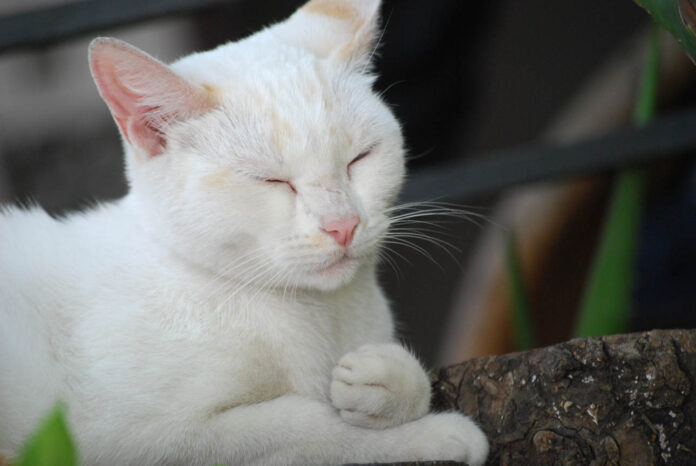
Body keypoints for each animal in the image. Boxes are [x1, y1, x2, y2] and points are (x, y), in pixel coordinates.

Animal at [0, 0, 490, 466]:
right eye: (271, 180)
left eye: (360, 159)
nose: (343, 224)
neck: (316, 313)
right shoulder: (126, 438)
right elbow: (305, 427)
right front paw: (434, 433)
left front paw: (391, 381)